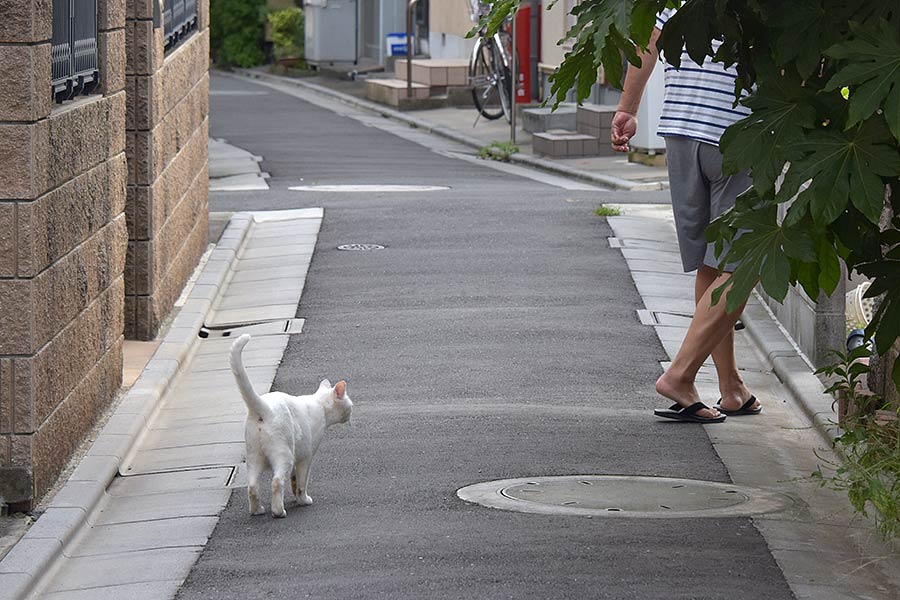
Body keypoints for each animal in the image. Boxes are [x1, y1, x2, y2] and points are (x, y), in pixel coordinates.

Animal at [229, 336, 352, 516]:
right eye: (350, 403)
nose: (351, 412)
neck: (319, 405)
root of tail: (263, 407)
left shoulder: (297, 455)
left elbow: (294, 481)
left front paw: (295, 497)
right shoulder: (306, 457)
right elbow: (302, 483)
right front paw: (303, 500)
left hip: (253, 458)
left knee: (252, 486)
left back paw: (257, 510)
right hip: (283, 455)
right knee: (276, 481)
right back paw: (278, 511)